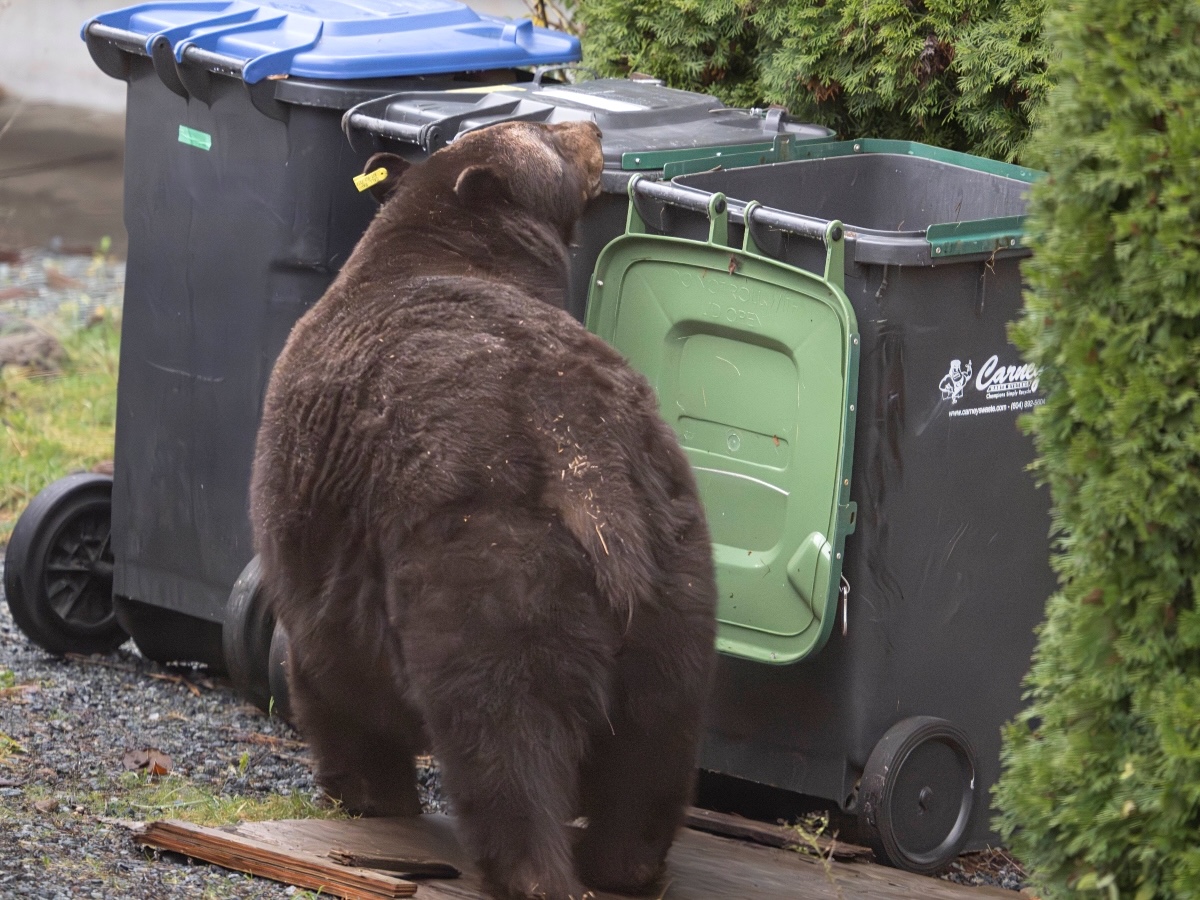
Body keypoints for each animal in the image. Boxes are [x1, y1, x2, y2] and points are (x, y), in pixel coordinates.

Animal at [249, 120, 718, 900]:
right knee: (655, 738)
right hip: (673, 568)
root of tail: (584, 455)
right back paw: (625, 863)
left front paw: (363, 786)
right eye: (546, 122)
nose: (593, 127)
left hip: (488, 562)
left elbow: (325, 663)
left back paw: (529, 868)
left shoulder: (319, 523)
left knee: (505, 734)